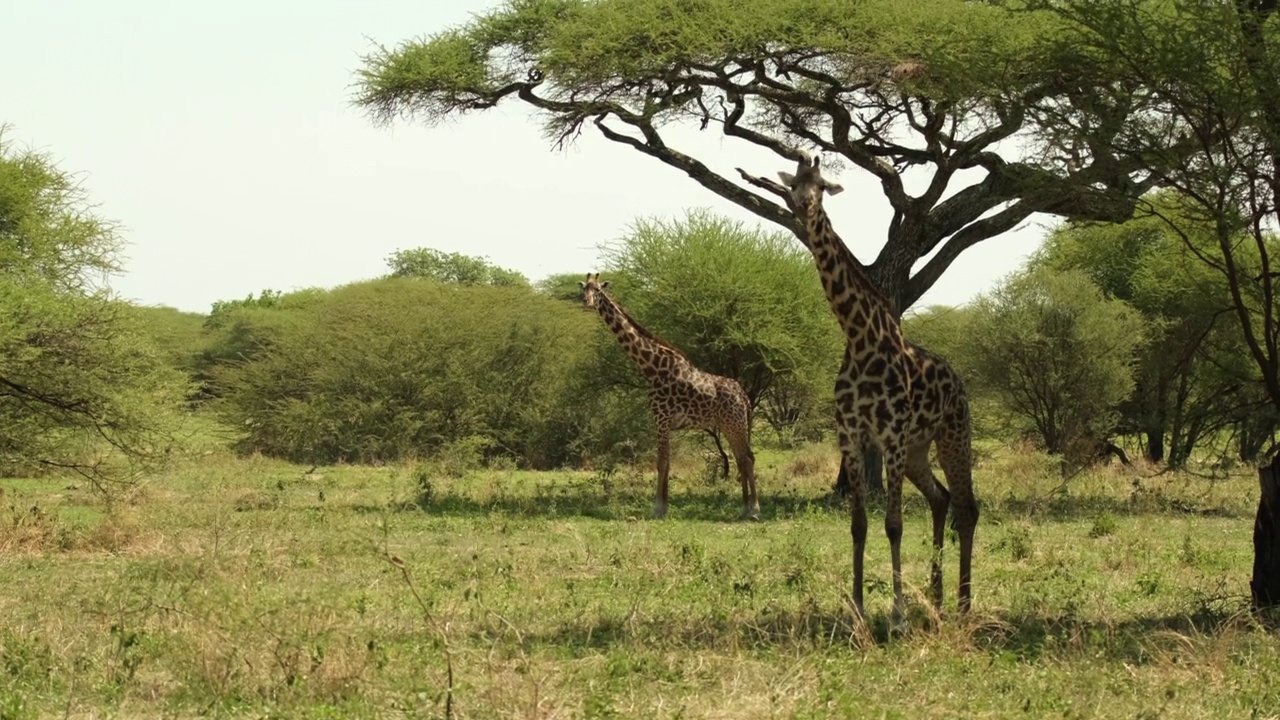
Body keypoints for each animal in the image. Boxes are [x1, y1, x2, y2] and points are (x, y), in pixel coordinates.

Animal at [581, 271, 757, 517]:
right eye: (583, 289)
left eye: (597, 290)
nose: (586, 302)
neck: (652, 368)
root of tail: (744, 397)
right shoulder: (666, 424)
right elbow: (667, 463)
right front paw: (664, 506)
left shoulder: (661, 419)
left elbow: (661, 463)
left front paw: (658, 508)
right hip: (730, 425)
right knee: (743, 458)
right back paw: (744, 507)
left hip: (735, 424)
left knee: (747, 459)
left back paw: (754, 509)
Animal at [742, 152, 977, 617]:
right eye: (793, 185)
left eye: (821, 186)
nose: (804, 207)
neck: (859, 338)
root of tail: (959, 382)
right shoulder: (851, 436)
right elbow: (859, 524)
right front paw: (858, 608)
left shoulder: (892, 436)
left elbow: (894, 524)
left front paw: (898, 614)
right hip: (921, 449)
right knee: (941, 499)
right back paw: (937, 598)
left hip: (952, 434)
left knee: (967, 506)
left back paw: (963, 604)